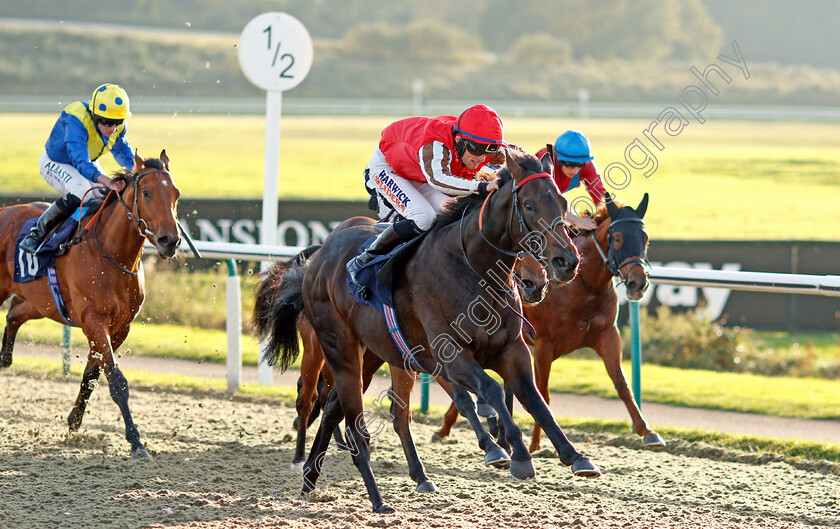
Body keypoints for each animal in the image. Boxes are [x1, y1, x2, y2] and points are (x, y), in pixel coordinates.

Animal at [0, 151, 182, 456]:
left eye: (176, 194)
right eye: (146, 192)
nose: (170, 240)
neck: (111, 253)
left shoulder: (120, 327)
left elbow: (92, 374)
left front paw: (74, 422)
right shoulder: (93, 319)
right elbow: (117, 381)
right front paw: (136, 441)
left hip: (41, 302)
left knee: (14, 313)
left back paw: (4, 359)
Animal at [260, 151, 600, 512]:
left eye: (563, 203)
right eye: (531, 206)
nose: (566, 262)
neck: (472, 269)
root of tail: (320, 256)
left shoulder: (512, 350)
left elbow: (535, 401)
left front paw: (575, 456)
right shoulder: (450, 356)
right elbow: (489, 391)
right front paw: (515, 454)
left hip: (375, 356)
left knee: (337, 409)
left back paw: (312, 479)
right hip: (339, 350)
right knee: (335, 412)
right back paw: (360, 492)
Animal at [434, 194, 664, 450]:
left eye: (645, 238)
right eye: (617, 239)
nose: (637, 283)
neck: (583, 288)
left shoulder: (607, 335)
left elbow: (622, 384)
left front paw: (647, 431)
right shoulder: (544, 344)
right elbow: (542, 392)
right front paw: (536, 442)